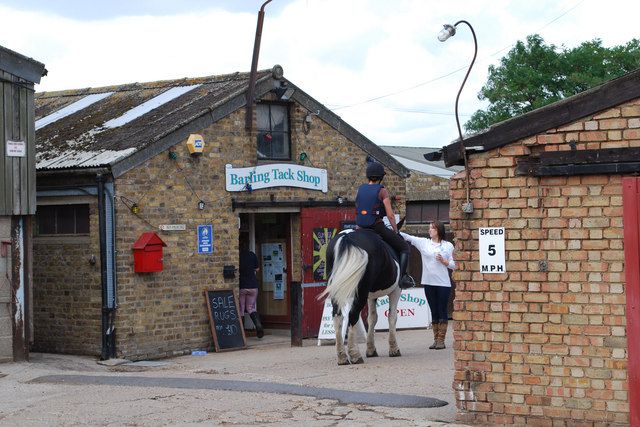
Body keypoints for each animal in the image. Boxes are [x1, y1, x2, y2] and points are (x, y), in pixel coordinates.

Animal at [318, 229, 402, 366]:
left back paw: (342, 357)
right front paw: (394, 349)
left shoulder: (371, 296)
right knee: (352, 315)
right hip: (361, 292)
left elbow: (372, 318)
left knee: (338, 316)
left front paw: (371, 349)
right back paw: (355, 355)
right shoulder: (396, 290)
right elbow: (392, 317)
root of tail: (347, 236)